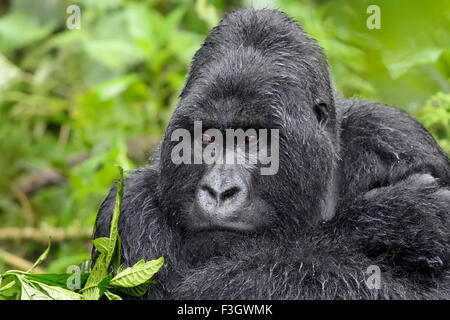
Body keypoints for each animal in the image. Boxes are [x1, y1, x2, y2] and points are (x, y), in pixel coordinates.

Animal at [92, 9, 450, 300]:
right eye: (207, 137)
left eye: (252, 139)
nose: (219, 191)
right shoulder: (128, 208)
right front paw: (396, 217)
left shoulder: (397, 137)